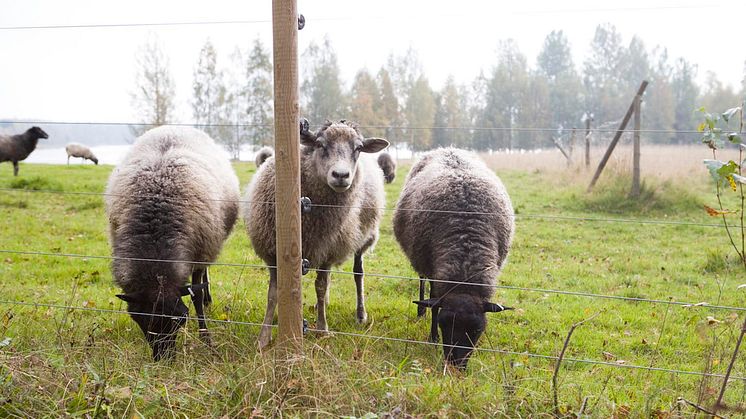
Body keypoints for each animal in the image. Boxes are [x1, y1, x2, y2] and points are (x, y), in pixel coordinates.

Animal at [104, 125, 237, 360]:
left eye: (180, 320)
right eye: (139, 319)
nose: (162, 359)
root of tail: (175, 127)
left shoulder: (200, 252)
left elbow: (196, 294)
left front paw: (206, 338)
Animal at [246, 120, 390, 350]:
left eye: (358, 148)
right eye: (320, 144)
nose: (341, 175)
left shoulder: (327, 251)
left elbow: (320, 287)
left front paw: (323, 329)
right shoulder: (273, 252)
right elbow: (273, 294)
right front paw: (263, 337)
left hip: (362, 239)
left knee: (358, 273)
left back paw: (360, 314)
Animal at [392, 148, 516, 370]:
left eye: (478, 330)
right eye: (444, 325)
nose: (455, 366)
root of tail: (447, 148)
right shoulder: (434, 272)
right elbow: (433, 302)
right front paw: (432, 337)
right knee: (422, 282)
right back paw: (420, 310)